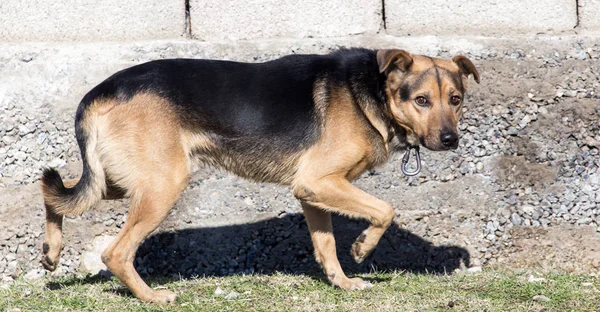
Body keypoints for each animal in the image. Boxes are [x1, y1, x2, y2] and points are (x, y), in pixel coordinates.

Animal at [39, 48, 480, 302]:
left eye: (456, 100)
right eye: (421, 100)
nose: (450, 140)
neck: (371, 91)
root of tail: (99, 92)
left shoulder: (312, 192)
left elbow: (325, 245)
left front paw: (342, 283)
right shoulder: (319, 182)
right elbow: (384, 210)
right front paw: (362, 249)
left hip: (118, 181)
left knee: (54, 194)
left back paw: (52, 251)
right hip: (163, 185)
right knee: (115, 252)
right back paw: (152, 297)